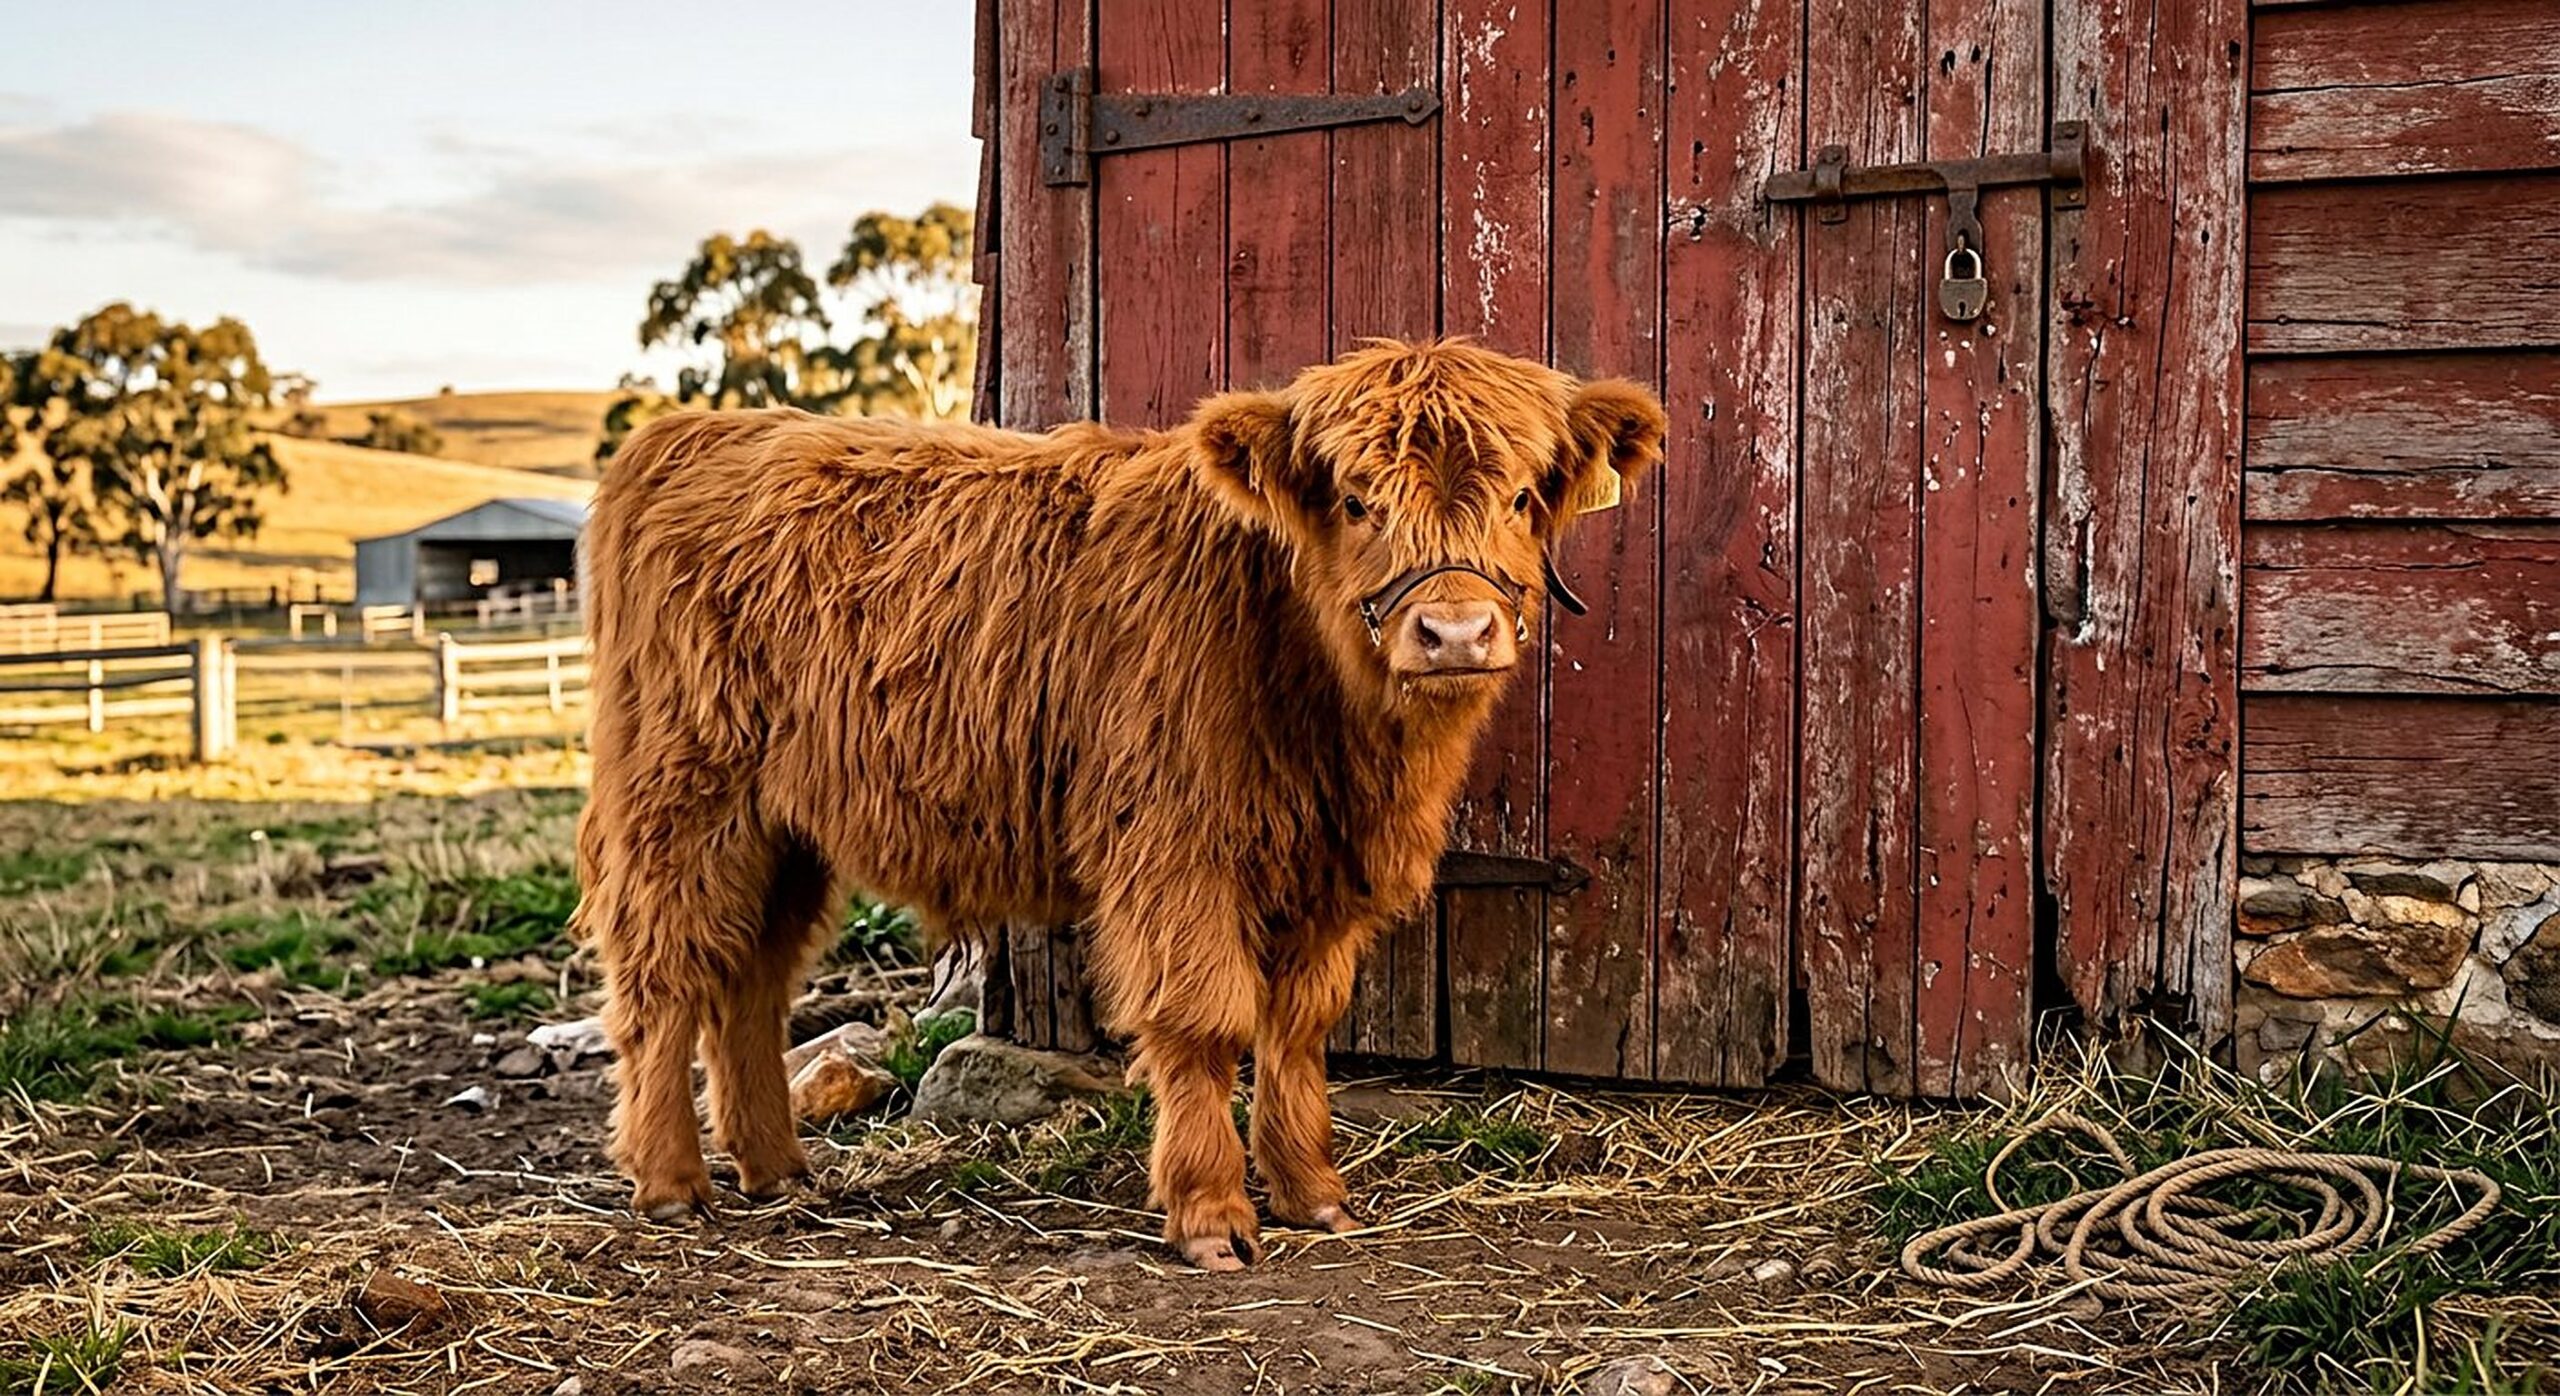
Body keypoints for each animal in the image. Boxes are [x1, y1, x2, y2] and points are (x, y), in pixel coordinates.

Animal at [574, 338, 1666, 1270]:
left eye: (1523, 495)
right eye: (1357, 500)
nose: (1454, 631)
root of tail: (695, 432)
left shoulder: (1327, 871)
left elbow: (1299, 1027)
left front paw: (1312, 1192)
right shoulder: (1175, 849)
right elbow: (1207, 1020)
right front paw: (1212, 1214)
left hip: (782, 827)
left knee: (750, 980)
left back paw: (775, 1167)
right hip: (682, 796)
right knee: (664, 974)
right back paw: (670, 1181)